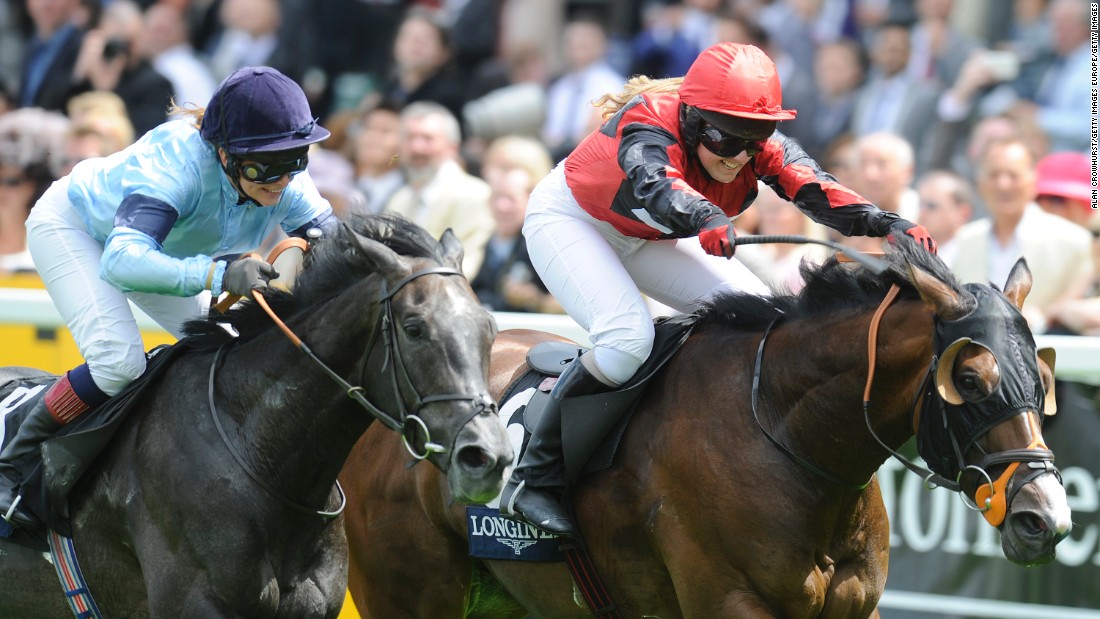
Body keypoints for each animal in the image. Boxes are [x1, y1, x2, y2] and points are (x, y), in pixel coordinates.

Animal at [341, 238, 1064, 619]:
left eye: (1042, 376)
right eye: (969, 378)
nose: (1045, 516)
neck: (783, 433)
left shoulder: (856, 607)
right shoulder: (728, 600)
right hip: (409, 591)